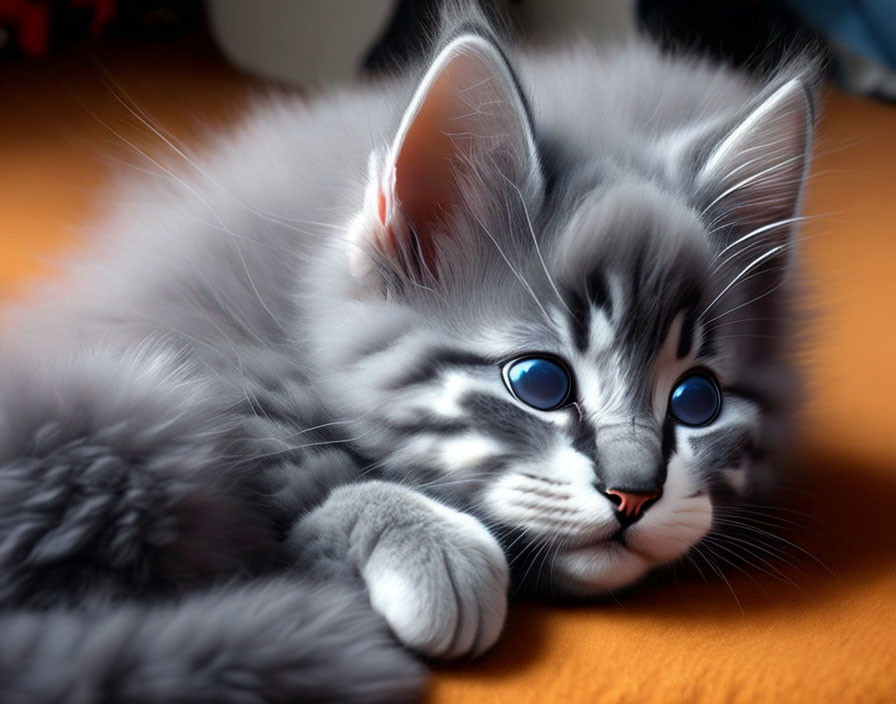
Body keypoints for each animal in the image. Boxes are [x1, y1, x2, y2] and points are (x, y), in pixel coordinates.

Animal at [0, 5, 820, 704]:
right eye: (539, 382)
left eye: (697, 401)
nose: (635, 495)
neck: (301, 294)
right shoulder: (200, 362)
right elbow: (293, 468)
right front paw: (430, 548)